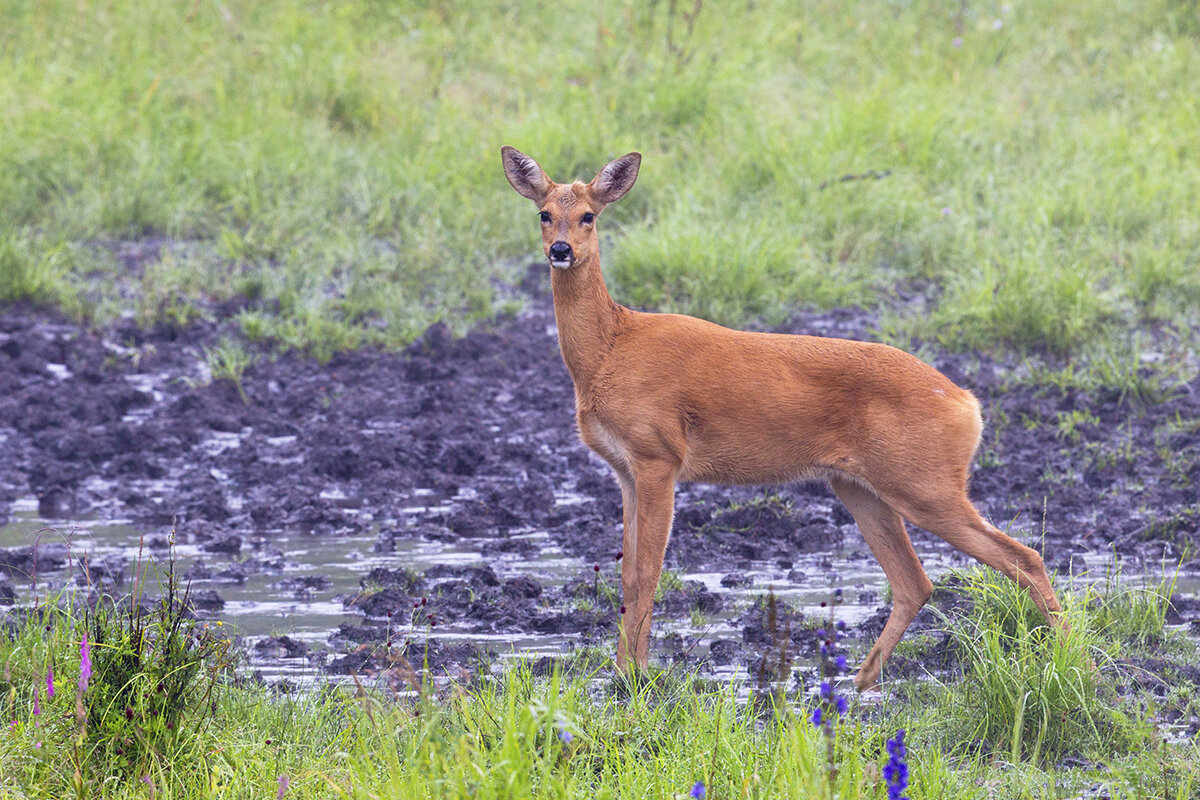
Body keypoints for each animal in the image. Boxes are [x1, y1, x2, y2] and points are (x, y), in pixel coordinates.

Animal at [501, 146, 1065, 690]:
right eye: (544, 213)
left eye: (589, 215)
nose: (560, 250)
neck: (610, 350)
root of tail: (967, 403)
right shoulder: (625, 471)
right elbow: (626, 575)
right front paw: (621, 673)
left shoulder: (658, 456)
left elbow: (646, 573)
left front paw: (636, 679)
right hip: (859, 487)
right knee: (916, 581)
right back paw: (858, 680)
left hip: (925, 483)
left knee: (1023, 558)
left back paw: (1065, 663)